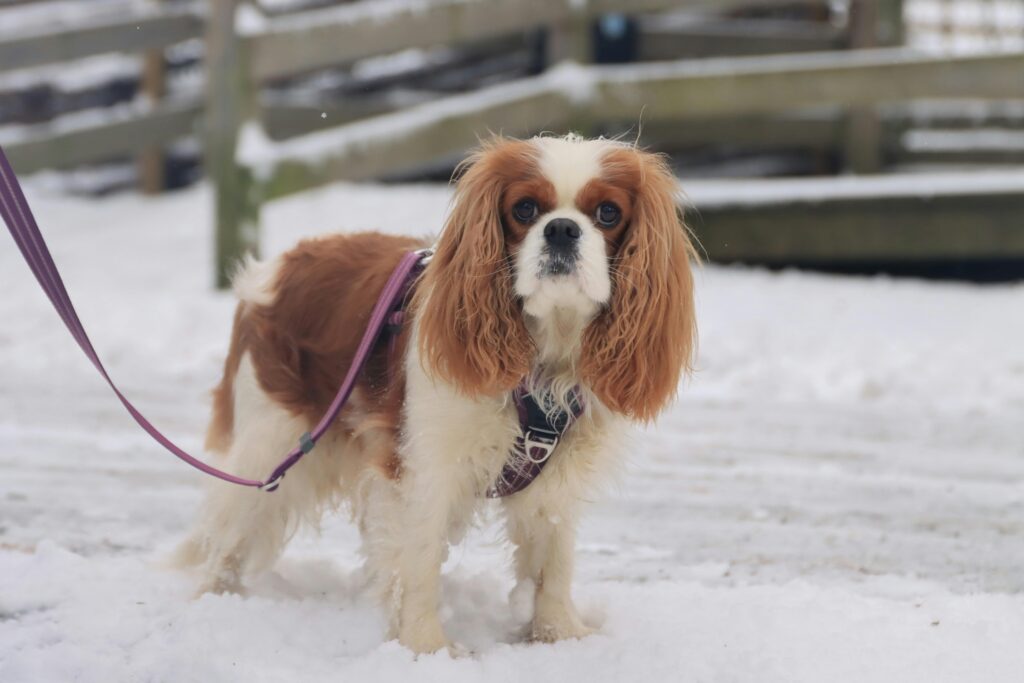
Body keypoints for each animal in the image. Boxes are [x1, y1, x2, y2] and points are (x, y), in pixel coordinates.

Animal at [178, 133, 696, 651]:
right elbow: (419, 559)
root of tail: (270, 271)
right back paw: (217, 599)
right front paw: (426, 646)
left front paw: (560, 635)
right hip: (271, 441)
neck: (546, 354)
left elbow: (554, 559)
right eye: (525, 209)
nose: (563, 229)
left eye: (608, 213)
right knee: (227, 529)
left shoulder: (557, 474)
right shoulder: (425, 467)